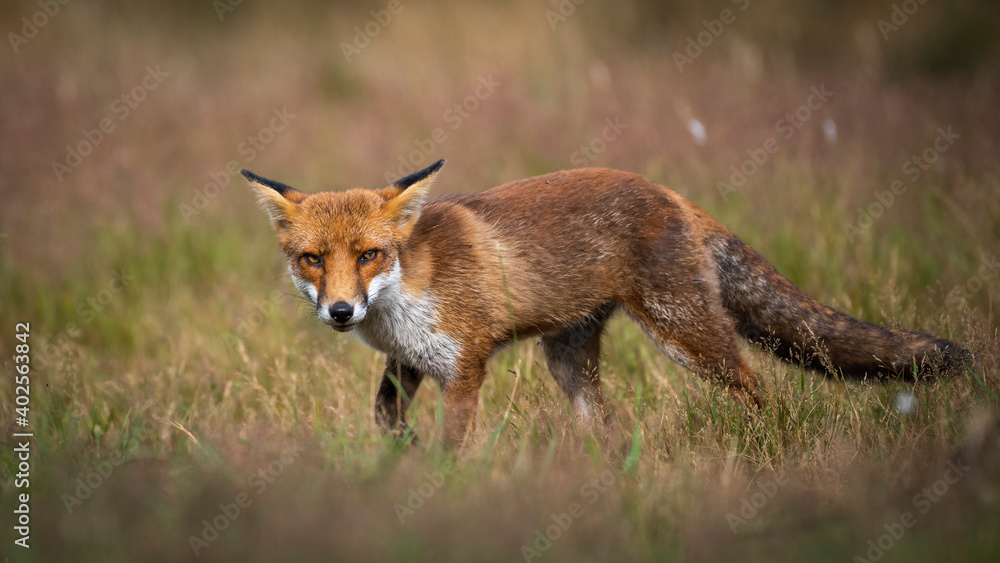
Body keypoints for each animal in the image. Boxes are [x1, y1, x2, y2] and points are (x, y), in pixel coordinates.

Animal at [243, 160, 969, 448]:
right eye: (312, 259)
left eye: (369, 254)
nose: (340, 311)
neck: (405, 293)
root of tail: (667, 192)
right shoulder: (409, 363)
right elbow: (385, 419)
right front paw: (400, 458)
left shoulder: (465, 364)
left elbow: (452, 442)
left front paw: (440, 478)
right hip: (568, 361)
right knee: (610, 429)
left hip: (685, 335)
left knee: (756, 385)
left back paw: (772, 447)